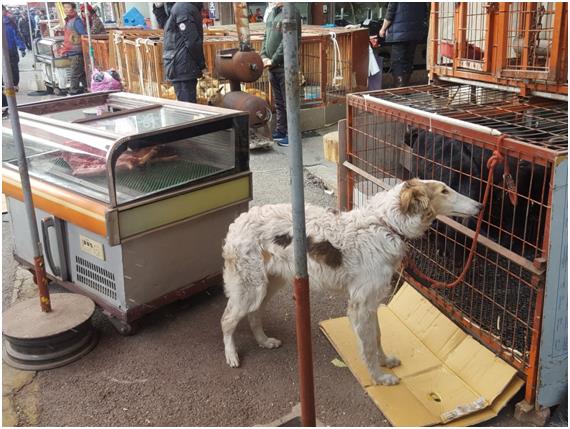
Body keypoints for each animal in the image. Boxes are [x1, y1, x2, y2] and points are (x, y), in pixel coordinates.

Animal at [220, 177, 478, 384]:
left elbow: (377, 337)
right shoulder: (360, 305)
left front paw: (385, 362)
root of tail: (238, 221)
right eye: (444, 191)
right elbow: (369, 348)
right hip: (250, 289)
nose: (480, 205)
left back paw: (264, 341)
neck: (387, 224)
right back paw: (231, 355)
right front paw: (379, 378)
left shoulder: (372, 302)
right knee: (227, 320)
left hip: (268, 285)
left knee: (254, 315)